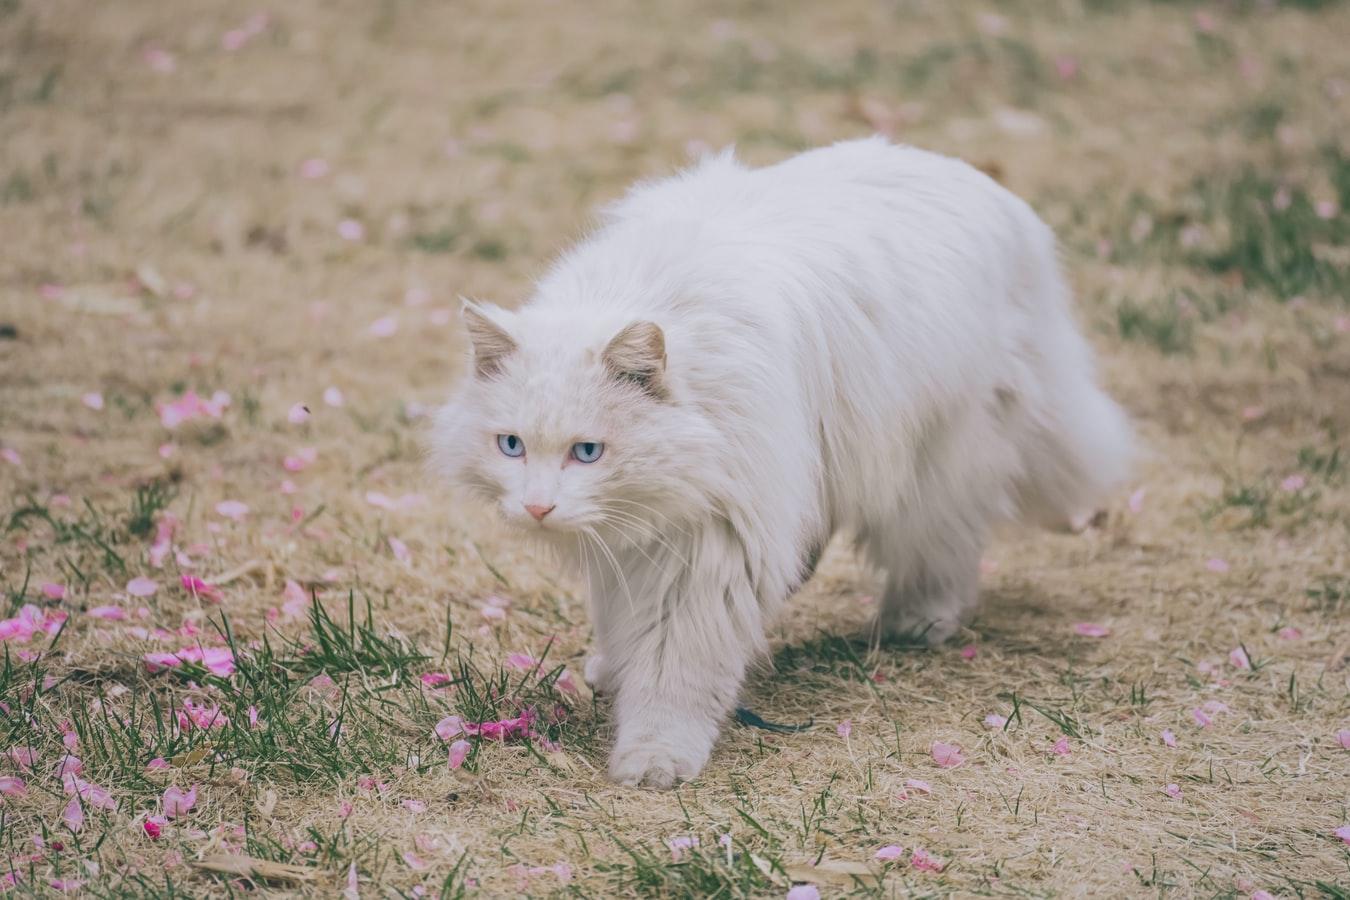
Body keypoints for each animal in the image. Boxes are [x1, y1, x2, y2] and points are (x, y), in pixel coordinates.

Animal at [429, 135, 1128, 788]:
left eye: (587, 452)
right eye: (511, 446)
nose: (537, 507)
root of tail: (987, 188)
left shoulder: (710, 546)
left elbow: (675, 671)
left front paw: (654, 758)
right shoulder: (645, 542)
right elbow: (625, 623)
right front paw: (614, 668)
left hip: (933, 463)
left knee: (941, 549)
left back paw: (920, 619)